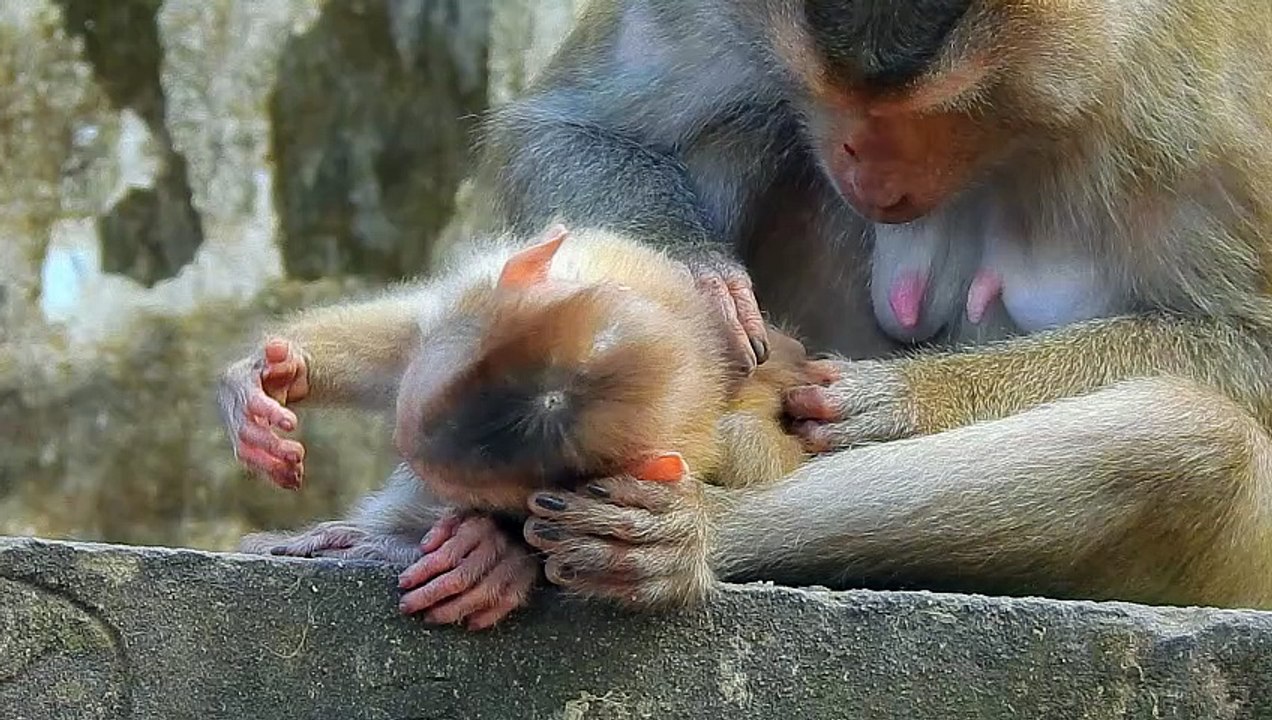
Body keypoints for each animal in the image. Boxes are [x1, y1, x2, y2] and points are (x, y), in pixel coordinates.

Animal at [455, 0, 1272, 612]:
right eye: (828, 95)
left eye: (944, 107)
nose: (860, 160)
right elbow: (571, 128)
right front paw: (699, 286)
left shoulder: (1199, 107)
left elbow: (1250, 350)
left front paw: (903, 399)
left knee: (1193, 445)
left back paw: (695, 535)